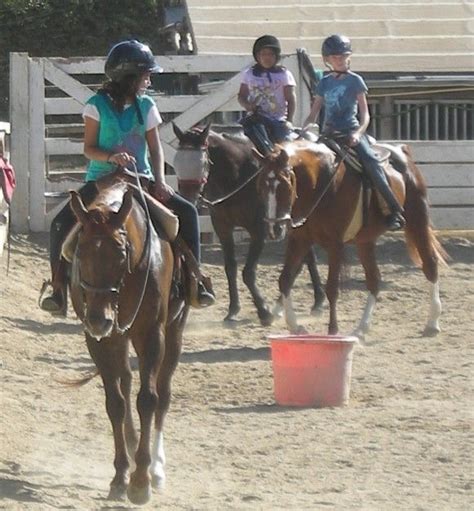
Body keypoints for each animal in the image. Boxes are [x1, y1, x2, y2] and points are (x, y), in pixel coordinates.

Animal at [67, 178, 189, 506]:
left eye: (120, 254)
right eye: (80, 251)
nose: (99, 318)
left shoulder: (152, 335)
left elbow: (147, 400)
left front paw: (140, 482)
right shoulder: (97, 340)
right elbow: (116, 404)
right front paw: (121, 476)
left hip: (173, 333)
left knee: (163, 393)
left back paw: (156, 469)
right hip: (117, 337)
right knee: (125, 379)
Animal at [173, 123, 326, 324]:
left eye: (202, 162)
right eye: (176, 163)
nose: (187, 198)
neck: (237, 174)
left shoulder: (259, 230)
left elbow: (248, 272)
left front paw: (264, 311)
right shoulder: (222, 227)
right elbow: (230, 267)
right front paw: (233, 310)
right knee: (306, 258)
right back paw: (309, 301)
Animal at [254, 141, 446, 340]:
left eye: (285, 185)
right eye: (260, 185)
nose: (274, 229)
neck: (321, 182)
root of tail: (402, 151)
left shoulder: (335, 244)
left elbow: (332, 288)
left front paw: (333, 331)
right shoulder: (300, 240)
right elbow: (284, 280)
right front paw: (296, 327)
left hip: (418, 219)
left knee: (430, 265)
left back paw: (432, 323)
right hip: (365, 242)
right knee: (374, 280)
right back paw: (361, 329)